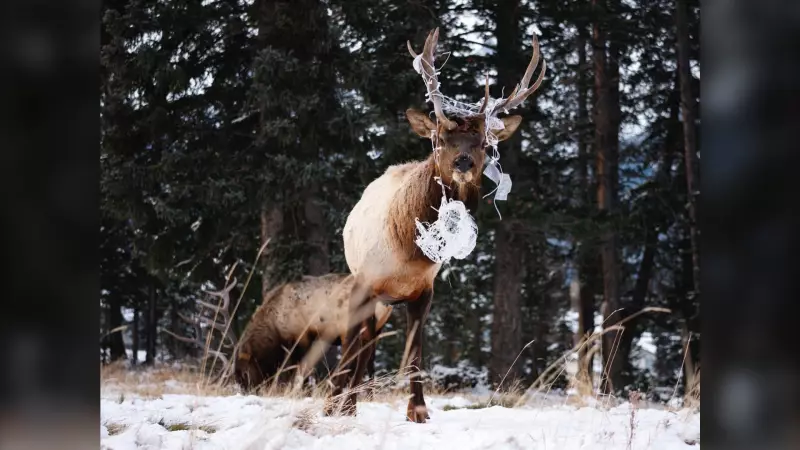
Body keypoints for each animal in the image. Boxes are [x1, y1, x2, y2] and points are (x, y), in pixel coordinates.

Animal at [324, 27, 546, 423]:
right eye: (441, 138)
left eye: (484, 143)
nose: (463, 162)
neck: (406, 253)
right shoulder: (363, 282)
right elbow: (349, 346)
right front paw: (333, 406)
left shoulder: (423, 291)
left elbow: (415, 351)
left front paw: (418, 409)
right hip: (368, 293)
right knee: (358, 342)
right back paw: (343, 402)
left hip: (385, 305)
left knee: (368, 343)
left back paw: (353, 401)